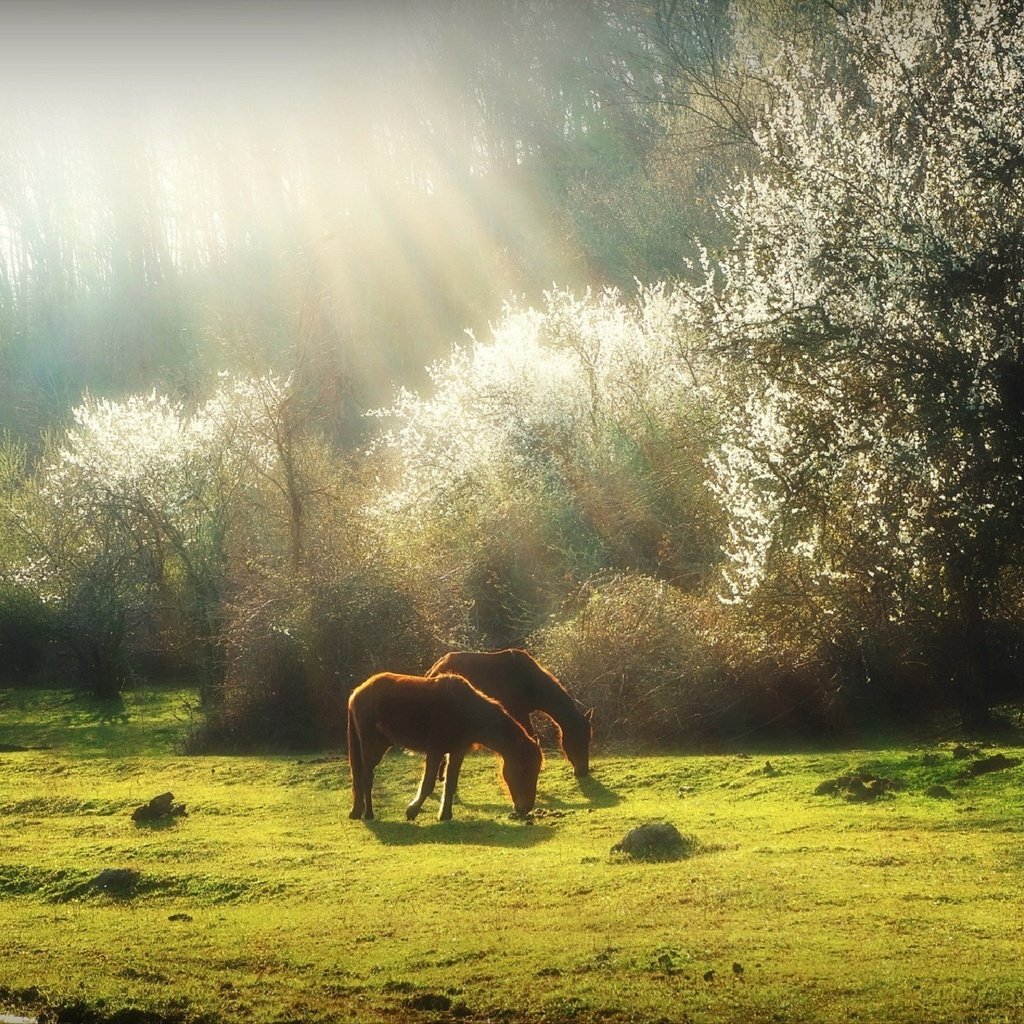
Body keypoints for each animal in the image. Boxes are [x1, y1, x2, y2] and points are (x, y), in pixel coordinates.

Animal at [348, 671, 544, 823]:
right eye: (524, 769)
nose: (526, 808)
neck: (465, 710)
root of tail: (357, 693)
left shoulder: (457, 752)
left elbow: (450, 783)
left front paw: (445, 815)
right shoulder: (435, 752)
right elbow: (428, 784)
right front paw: (412, 810)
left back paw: (358, 811)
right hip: (370, 748)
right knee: (366, 778)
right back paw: (368, 814)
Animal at [425, 647, 593, 774]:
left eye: (589, 739)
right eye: (578, 739)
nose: (583, 771)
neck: (528, 681)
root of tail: (433, 669)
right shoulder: (519, 714)